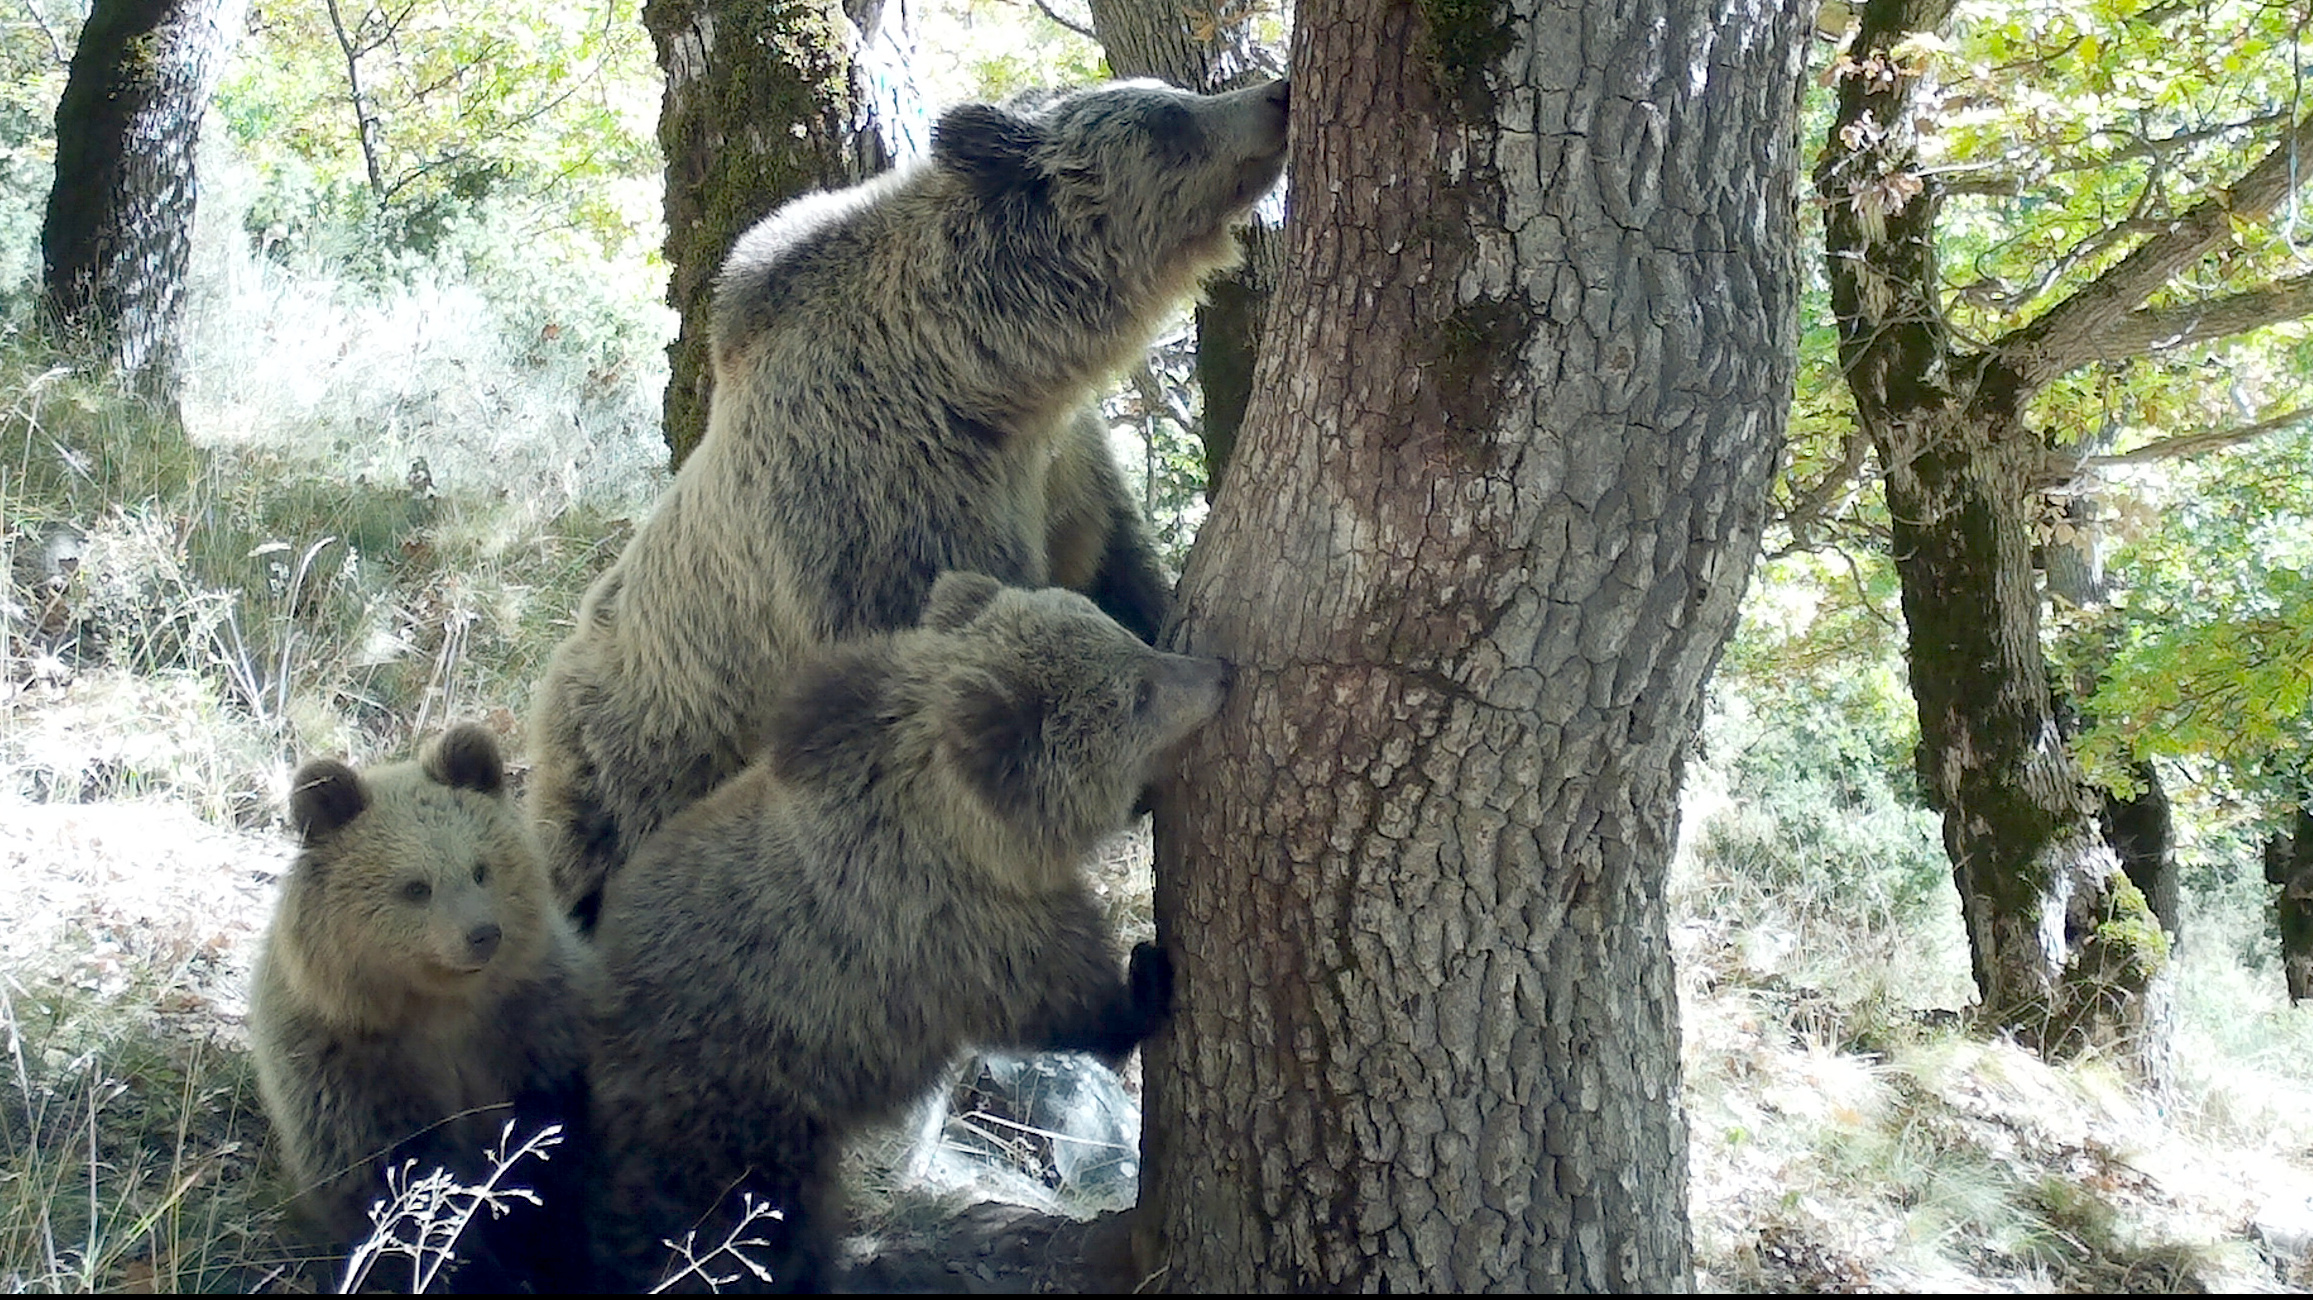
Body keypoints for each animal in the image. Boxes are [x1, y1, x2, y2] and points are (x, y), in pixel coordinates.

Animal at [250, 717, 606, 1286]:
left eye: (481, 868)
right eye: (416, 887)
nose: (483, 934)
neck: (439, 1005)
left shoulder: (535, 1024)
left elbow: (549, 1148)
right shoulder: (347, 1066)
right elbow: (392, 1178)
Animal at [527, 75, 1295, 920]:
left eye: (1170, 92)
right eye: (1168, 120)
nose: (1276, 93)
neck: (981, 381)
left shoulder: (1065, 474)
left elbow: (1115, 568)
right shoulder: (880, 516)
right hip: (634, 765)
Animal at [582, 573, 1230, 1286]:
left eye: (1131, 641)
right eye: (1139, 694)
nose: (1219, 672)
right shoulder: (951, 930)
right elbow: (1057, 1002)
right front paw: (1147, 980)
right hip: (738, 1107)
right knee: (747, 1221)